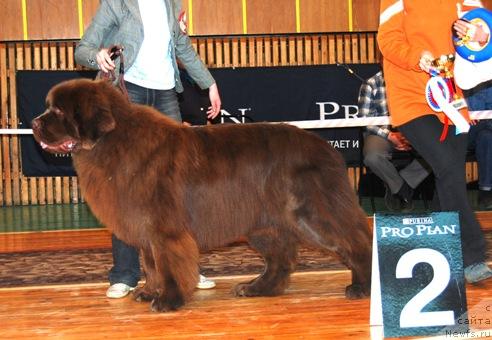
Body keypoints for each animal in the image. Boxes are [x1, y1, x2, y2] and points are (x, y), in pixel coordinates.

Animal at [32, 78, 370, 312]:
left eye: (58, 110)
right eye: (48, 107)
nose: (34, 122)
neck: (112, 142)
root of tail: (327, 149)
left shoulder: (164, 228)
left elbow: (167, 263)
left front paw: (168, 300)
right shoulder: (144, 228)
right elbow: (150, 264)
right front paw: (149, 291)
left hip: (311, 215)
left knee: (355, 241)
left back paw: (363, 287)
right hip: (264, 223)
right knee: (280, 259)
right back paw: (255, 288)